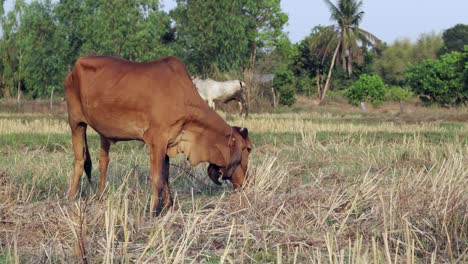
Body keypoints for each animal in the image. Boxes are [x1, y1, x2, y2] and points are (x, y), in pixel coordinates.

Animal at [66, 55, 252, 214]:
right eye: (248, 149)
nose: (246, 183)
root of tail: (74, 67)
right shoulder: (156, 141)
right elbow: (157, 177)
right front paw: (154, 210)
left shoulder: (169, 142)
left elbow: (165, 175)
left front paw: (169, 206)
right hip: (76, 123)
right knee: (80, 160)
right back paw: (72, 198)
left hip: (103, 133)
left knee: (103, 161)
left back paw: (100, 197)